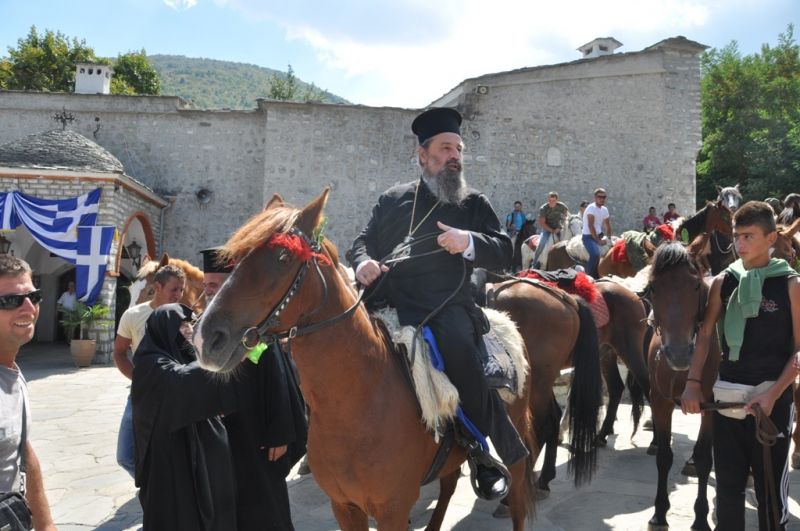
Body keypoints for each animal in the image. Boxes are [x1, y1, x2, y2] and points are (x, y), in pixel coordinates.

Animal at [196, 192, 556, 531]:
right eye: (237, 259)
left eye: (283, 258)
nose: (206, 338)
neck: (357, 400)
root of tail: (505, 325)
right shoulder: (344, 506)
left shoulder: (393, 510)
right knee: (449, 483)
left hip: (514, 438)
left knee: (518, 489)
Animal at [640, 243, 720, 528]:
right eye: (653, 287)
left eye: (695, 285)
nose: (679, 354)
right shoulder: (661, 400)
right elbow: (664, 456)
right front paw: (660, 513)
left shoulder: (711, 405)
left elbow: (707, 458)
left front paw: (701, 518)